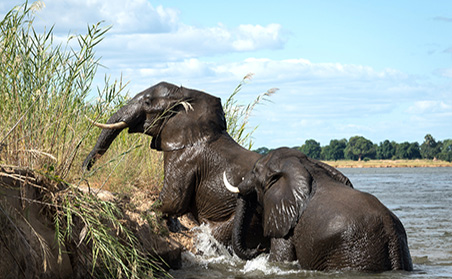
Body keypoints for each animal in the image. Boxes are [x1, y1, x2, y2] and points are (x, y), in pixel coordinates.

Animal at [82, 82, 264, 247]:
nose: (85, 171)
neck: (186, 95)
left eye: (147, 102)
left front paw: (149, 214)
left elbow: (172, 200)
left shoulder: (184, 158)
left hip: (251, 214)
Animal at [223, 149, 414, 274]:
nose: (260, 248)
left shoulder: (287, 226)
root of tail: (390, 234)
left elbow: (280, 258)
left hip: (355, 252)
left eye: (255, 170)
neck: (307, 165)